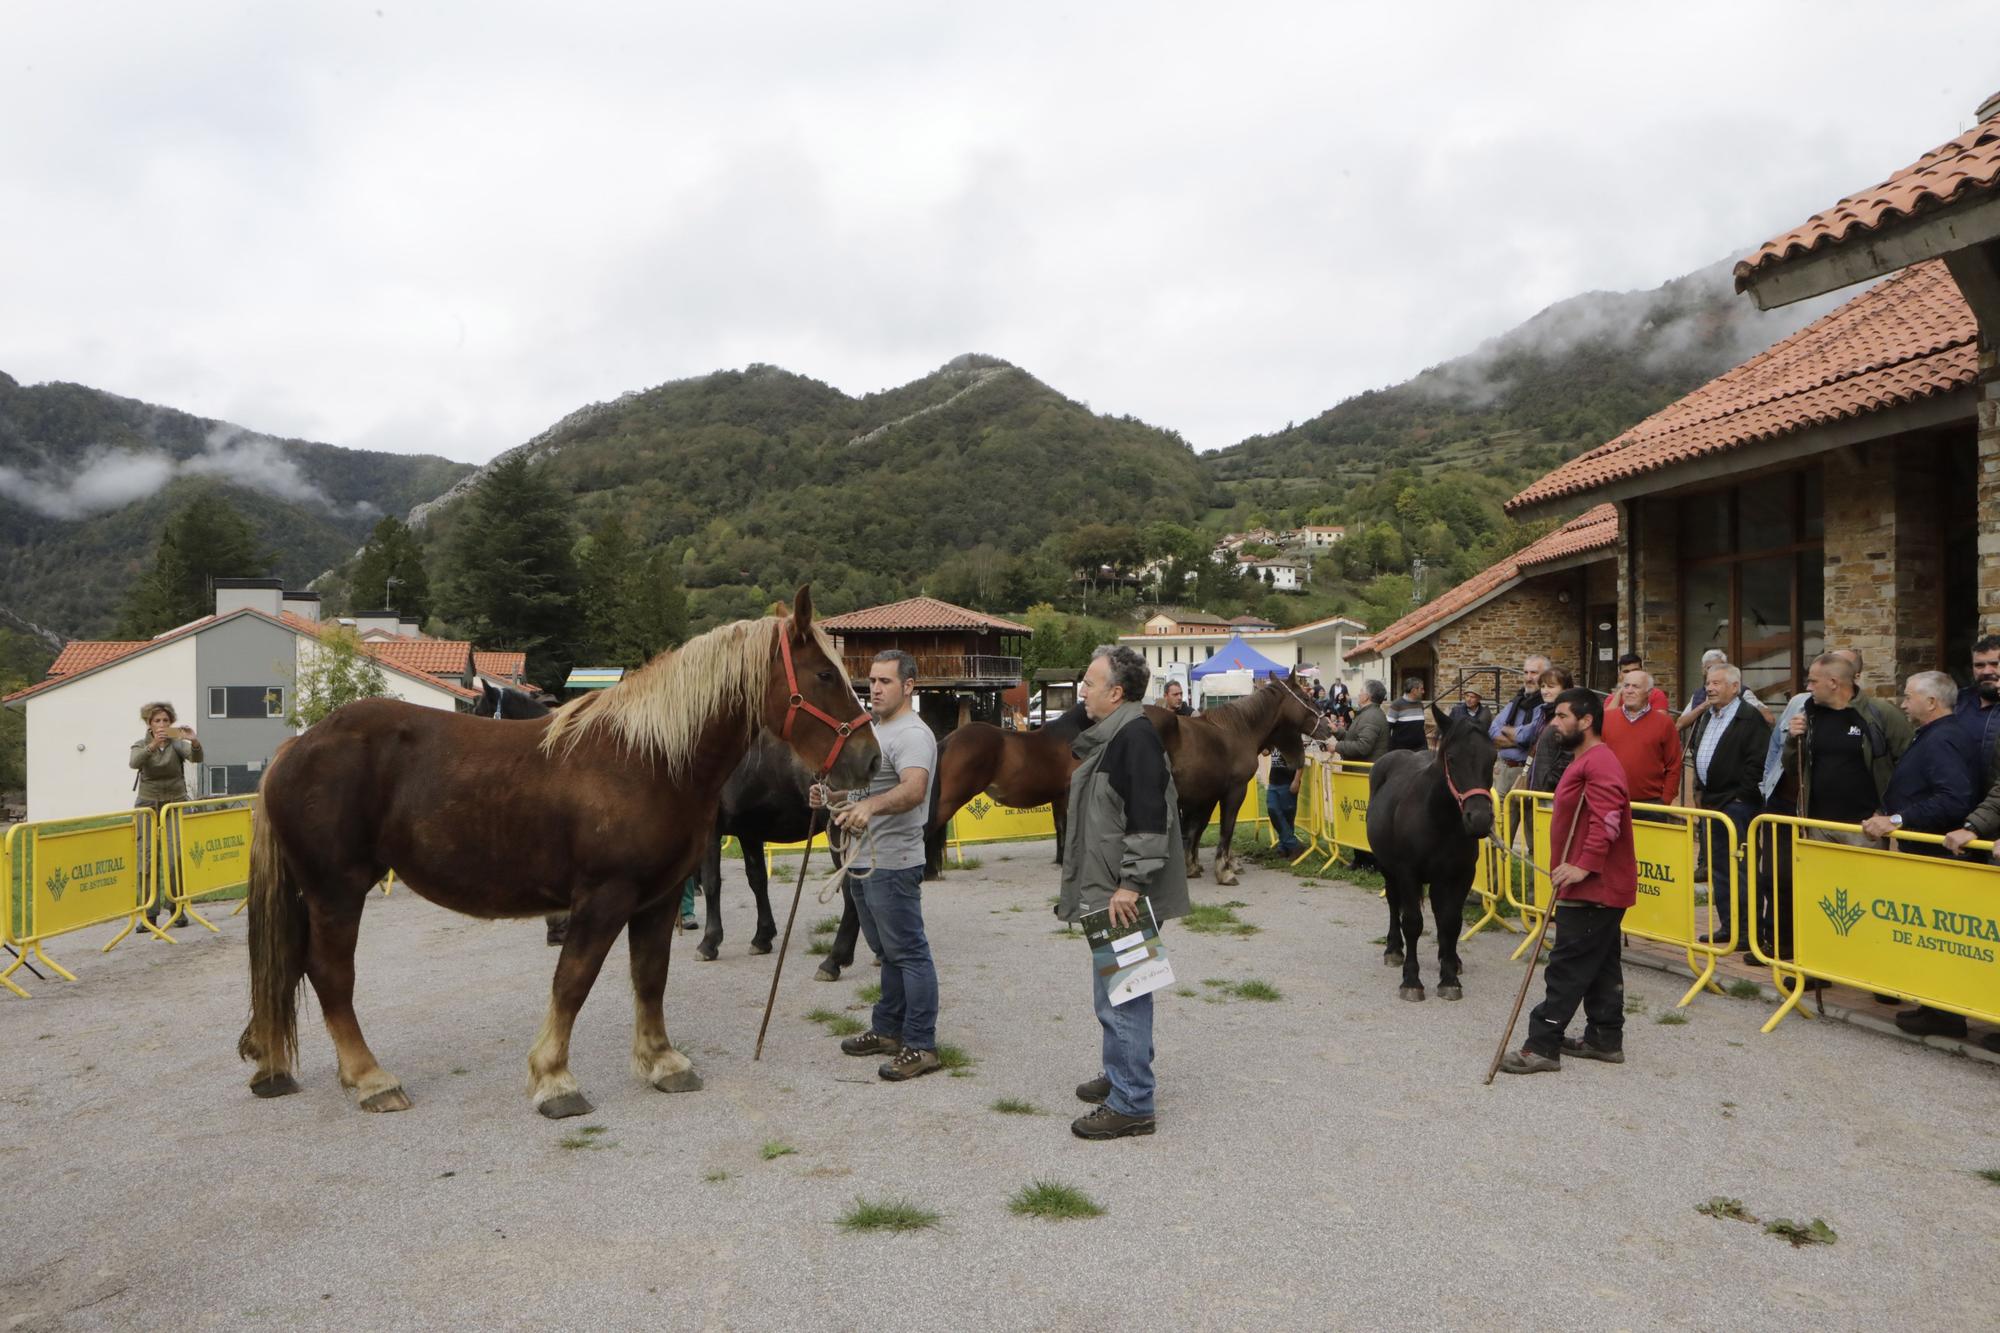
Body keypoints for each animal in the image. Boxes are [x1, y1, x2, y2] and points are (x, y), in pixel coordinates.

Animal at [236, 588, 876, 1112]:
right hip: (336, 891)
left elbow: (651, 976)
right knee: (329, 974)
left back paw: (274, 1067)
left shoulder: (660, 897)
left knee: (291, 966)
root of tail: (296, 747)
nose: (869, 759)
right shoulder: (603, 897)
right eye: (825, 675)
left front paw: (662, 1062)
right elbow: (574, 981)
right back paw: (370, 1079)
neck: (648, 759)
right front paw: (554, 1079)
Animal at [1168, 676, 1328, 880]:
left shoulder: (1207, 797)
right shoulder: (1233, 791)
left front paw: (1195, 866)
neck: (1237, 730)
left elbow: (1197, 829)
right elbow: (1225, 828)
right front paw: (1224, 870)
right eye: (1306, 698)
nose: (1328, 726)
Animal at [1368, 704, 1496, 996]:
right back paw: (1394, 949)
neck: (1439, 819)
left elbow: (1451, 922)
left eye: (1493, 757)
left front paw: (1448, 976)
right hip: (1387, 868)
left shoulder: (1461, 875)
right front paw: (1411, 980)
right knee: (1394, 902)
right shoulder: (1407, 873)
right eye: (1452, 757)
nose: (1479, 819)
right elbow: (1413, 922)